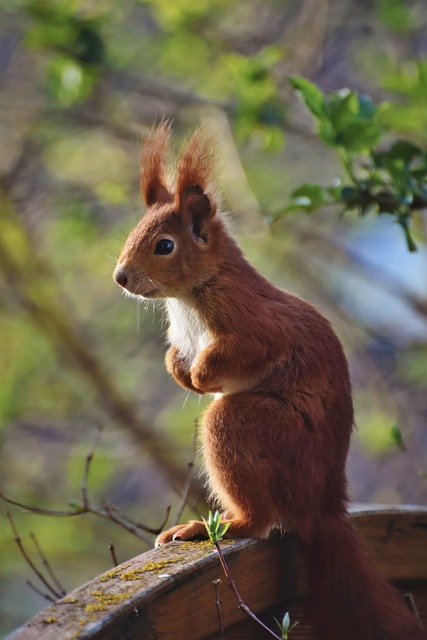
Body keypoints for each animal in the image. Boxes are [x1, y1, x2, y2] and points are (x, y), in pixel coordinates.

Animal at [113, 123, 426, 640]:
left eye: (164, 245)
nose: (120, 277)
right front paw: (181, 371)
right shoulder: (184, 335)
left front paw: (201, 375)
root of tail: (322, 504)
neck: (189, 297)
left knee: (258, 517)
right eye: (132, 233)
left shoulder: (256, 324)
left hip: (257, 429)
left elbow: (247, 350)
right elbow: (173, 355)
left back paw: (213, 526)